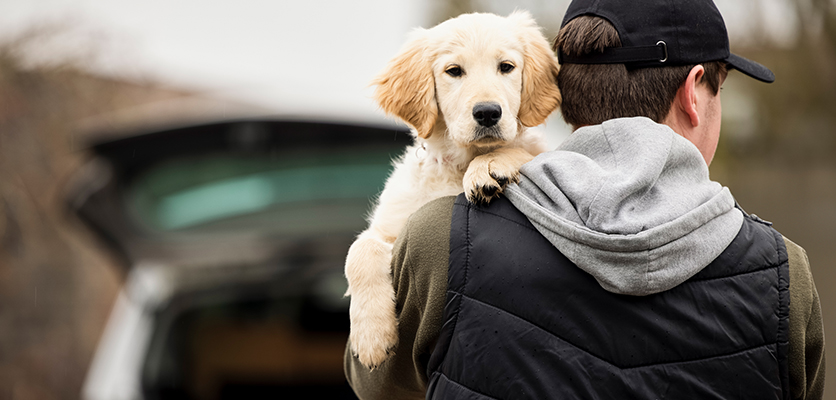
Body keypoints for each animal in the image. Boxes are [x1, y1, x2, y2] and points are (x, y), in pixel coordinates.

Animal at [342, 10, 560, 368]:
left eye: (506, 67)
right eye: (454, 71)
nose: (488, 112)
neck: (458, 164)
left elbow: (525, 151)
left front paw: (490, 165)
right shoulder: (391, 225)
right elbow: (359, 251)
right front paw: (371, 336)